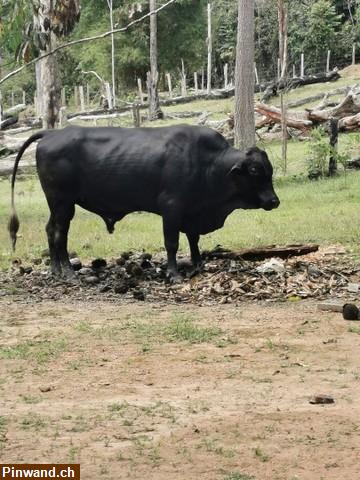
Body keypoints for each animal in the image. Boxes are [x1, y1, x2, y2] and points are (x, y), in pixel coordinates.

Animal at [7, 124, 280, 282]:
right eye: (254, 170)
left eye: (269, 169)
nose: (274, 201)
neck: (208, 162)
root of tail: (52, 133)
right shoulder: (172, 208)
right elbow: (172, 243)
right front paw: (174, 274)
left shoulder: (191, 212)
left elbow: (193, 240)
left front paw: (198, 263)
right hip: (63, 204)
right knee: (59, 235)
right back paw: (69, 274)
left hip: (57, 206)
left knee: (50, 230)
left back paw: (55, 271)